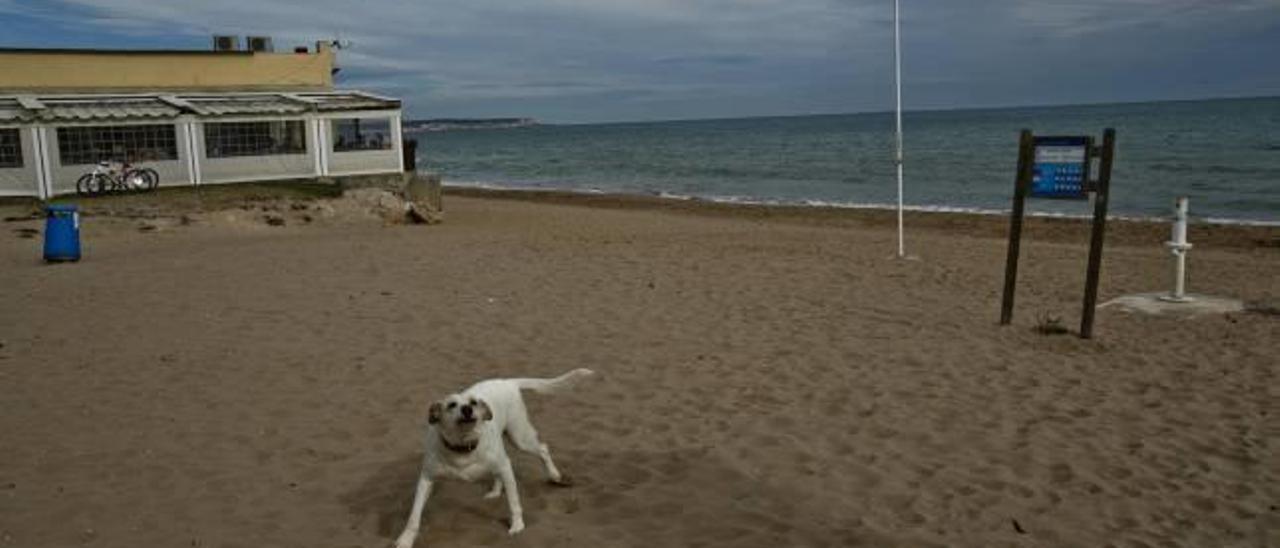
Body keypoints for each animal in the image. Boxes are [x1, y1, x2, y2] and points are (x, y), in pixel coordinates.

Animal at [389, 368, 593, 548]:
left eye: (473, 403)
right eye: (451, 405)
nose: (467, 409)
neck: (463, 446)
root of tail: (507, 381)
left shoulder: (505, 467)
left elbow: (514, 502)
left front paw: (517, 526)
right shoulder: (427, 479)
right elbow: (414, 515)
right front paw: (405, 540)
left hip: (520, 437)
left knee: (543, 449)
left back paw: (555, 476)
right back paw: (495, 492)